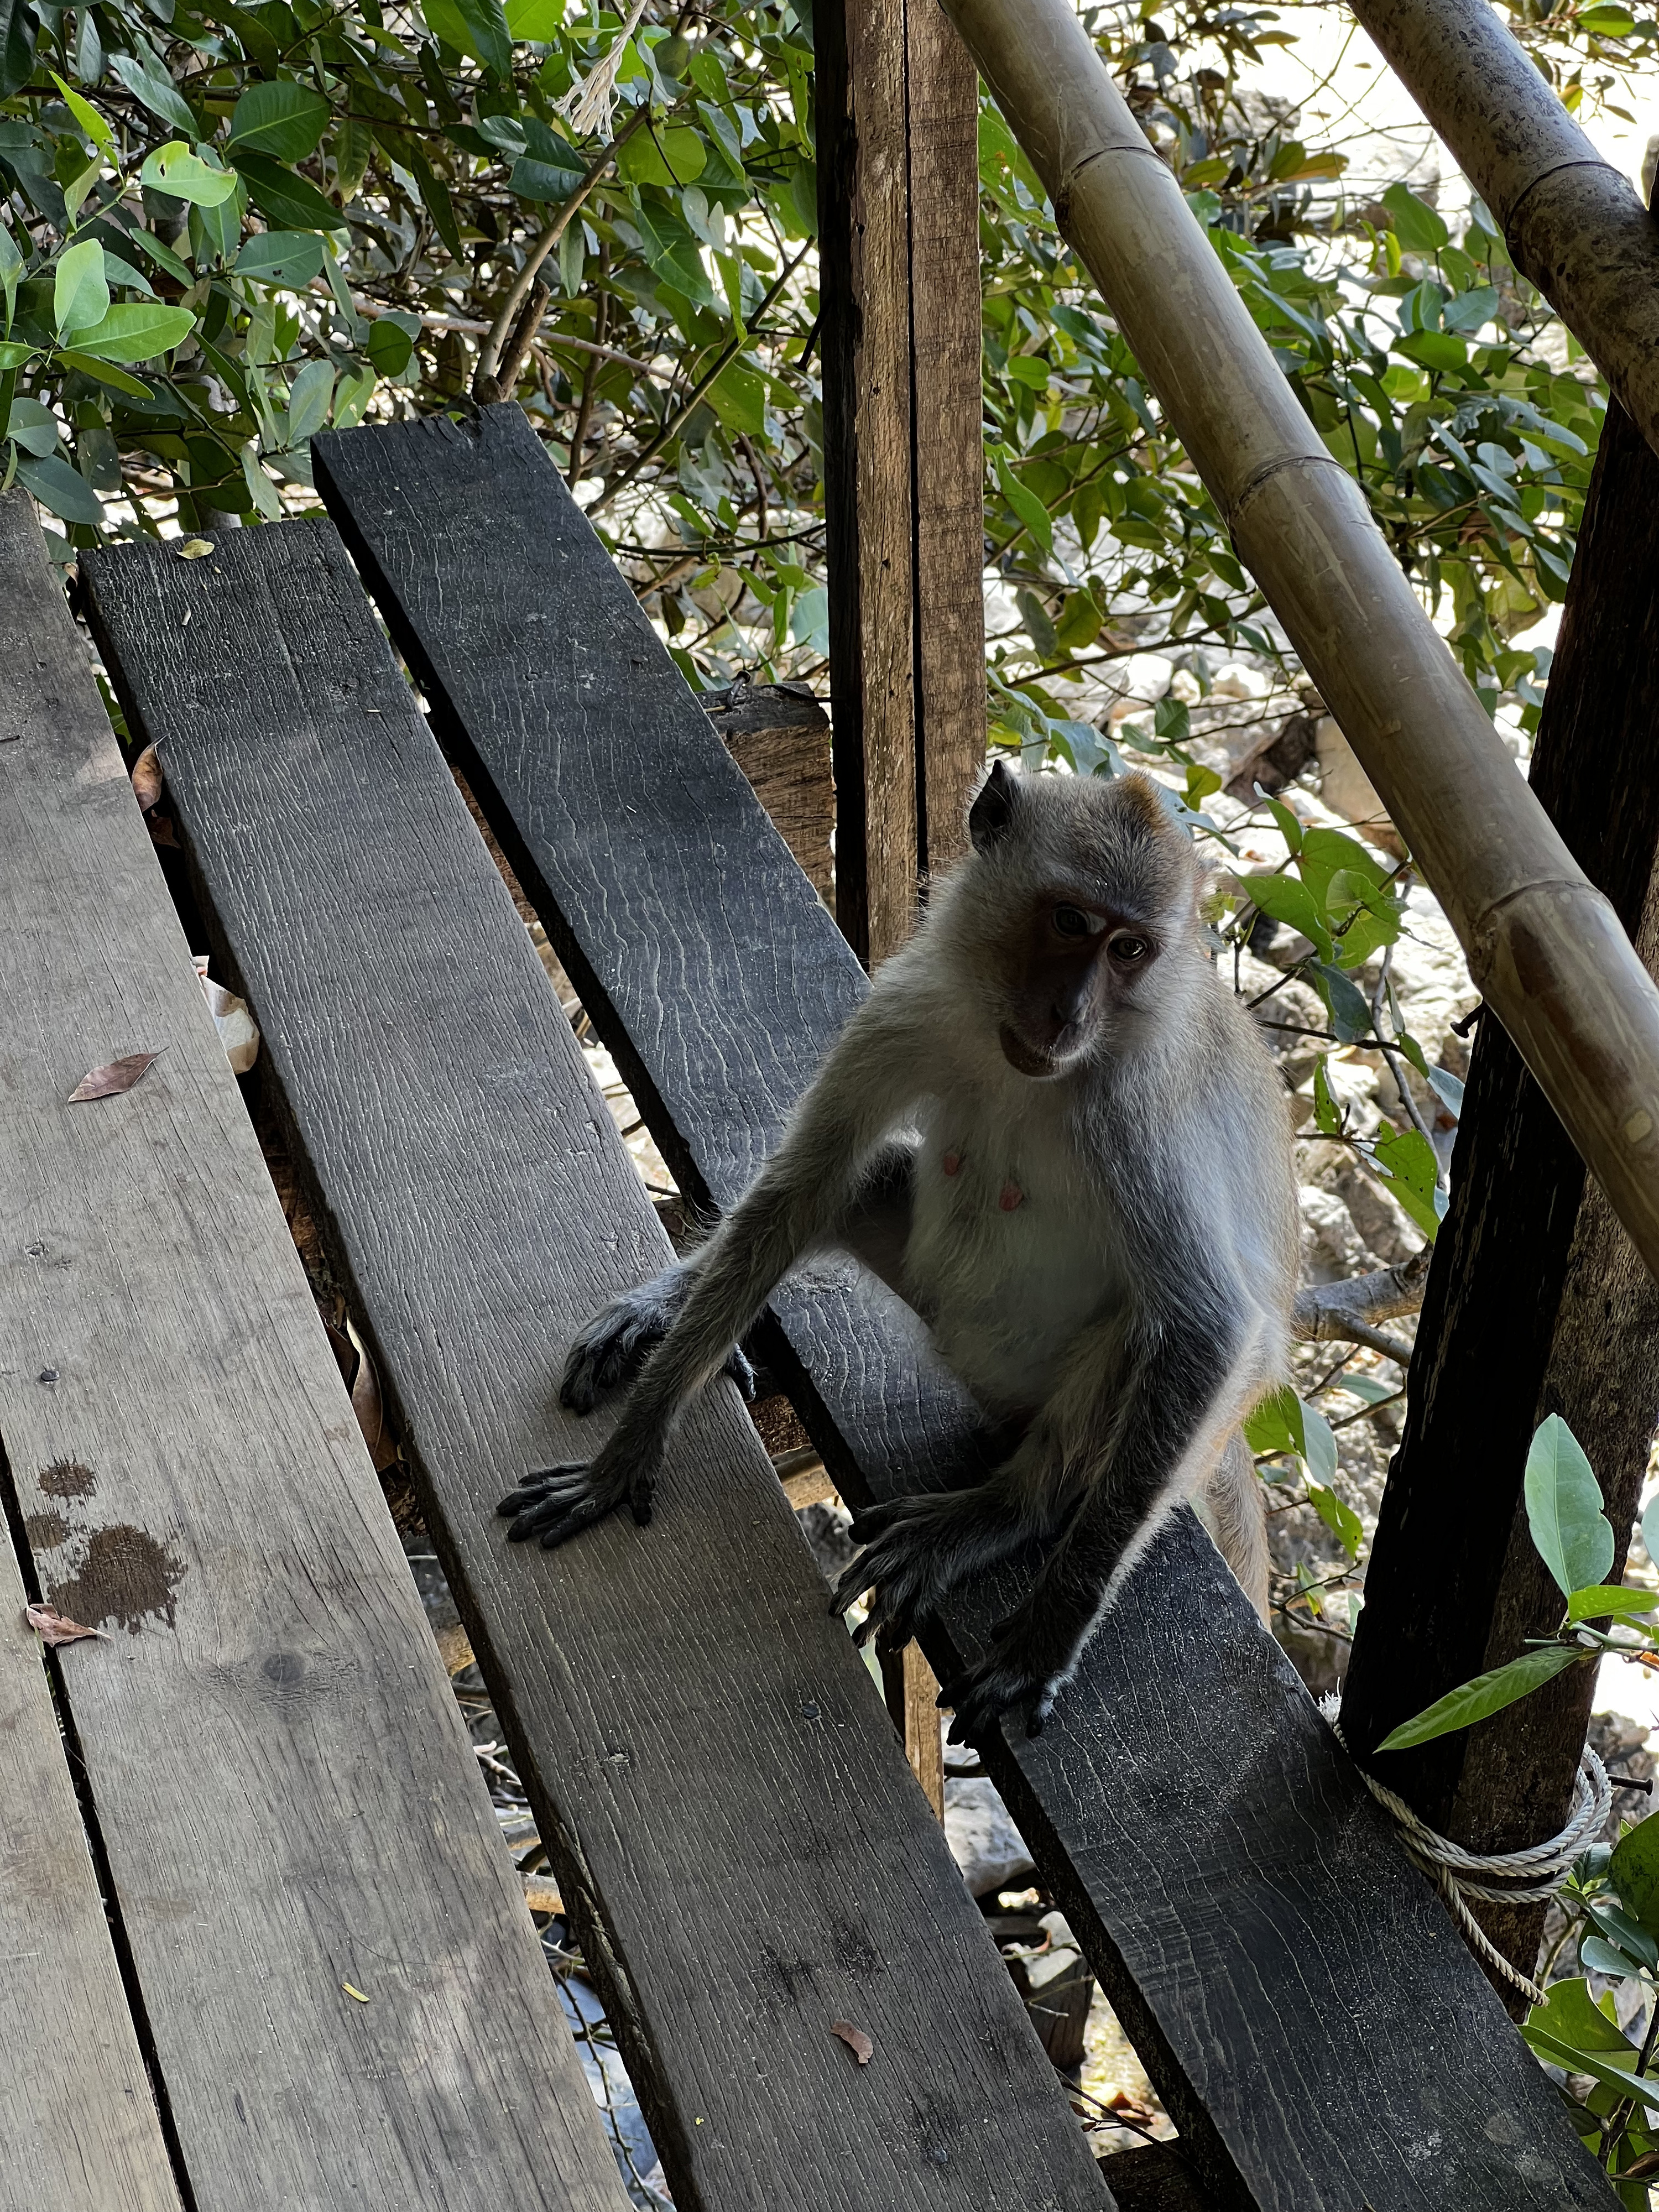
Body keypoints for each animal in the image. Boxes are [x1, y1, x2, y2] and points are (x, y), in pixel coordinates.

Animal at [500, 765, 1310, 1743]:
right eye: (1069, 922)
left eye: (1129, 951)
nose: (1070, 1014)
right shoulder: (910, 1011)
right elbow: (804, 1185)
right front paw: (631, 1445)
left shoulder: (1132, 1108)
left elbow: (1202, 1327)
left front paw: (1049, 1632)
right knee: (861, 1182)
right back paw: (671, 1310)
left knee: (1152, 1337)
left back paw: (1008, 1509)